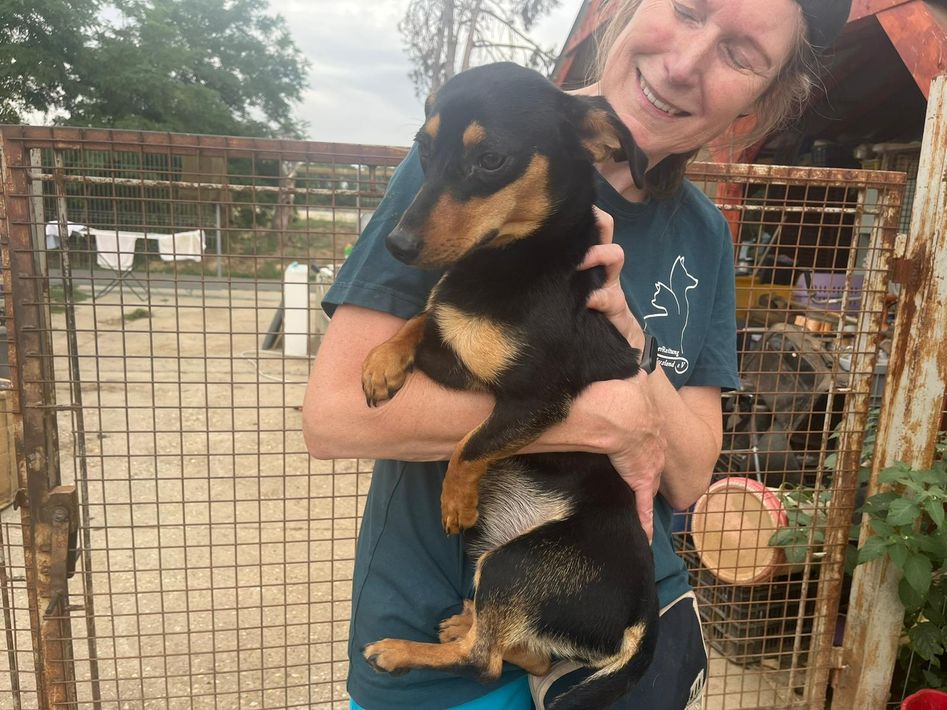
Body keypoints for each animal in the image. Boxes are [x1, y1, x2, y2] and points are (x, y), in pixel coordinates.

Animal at [359, 62, 658, 710]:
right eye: (424, 149)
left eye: (491, 159)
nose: (397, 244)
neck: (512, 260)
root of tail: (641, 614)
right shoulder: (456, 347)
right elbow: (424, 317)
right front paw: (380, 362)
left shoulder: (535, 400)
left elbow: (469, 444)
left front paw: (455, 501)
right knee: (525, 652)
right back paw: (462, 621)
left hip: (512, 562)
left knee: (486, 663)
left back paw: (402, 650)